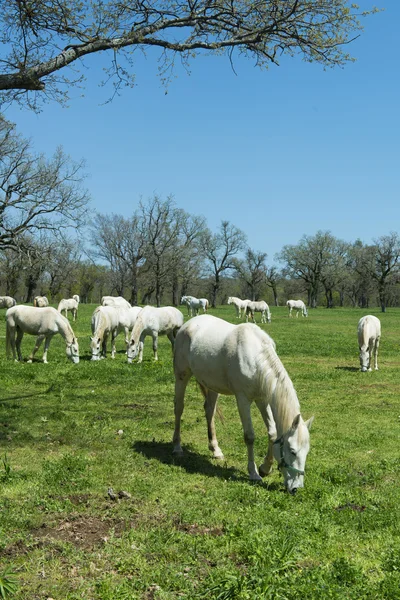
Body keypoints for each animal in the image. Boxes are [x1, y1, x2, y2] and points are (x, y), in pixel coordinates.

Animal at [171, 314, 312, 492]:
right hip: (181, 376)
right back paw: (177, 447)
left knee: (209, 411)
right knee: (179, 408)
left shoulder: (262, 399)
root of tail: (187, 325)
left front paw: (265, 468)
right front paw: (254, 473)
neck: (256, 358)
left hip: (212, 385)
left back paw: (216, 450)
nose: (296, 488)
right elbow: (249, 436)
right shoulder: (243, 399)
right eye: (292, 451)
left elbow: (272, 433)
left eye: (306, 452)